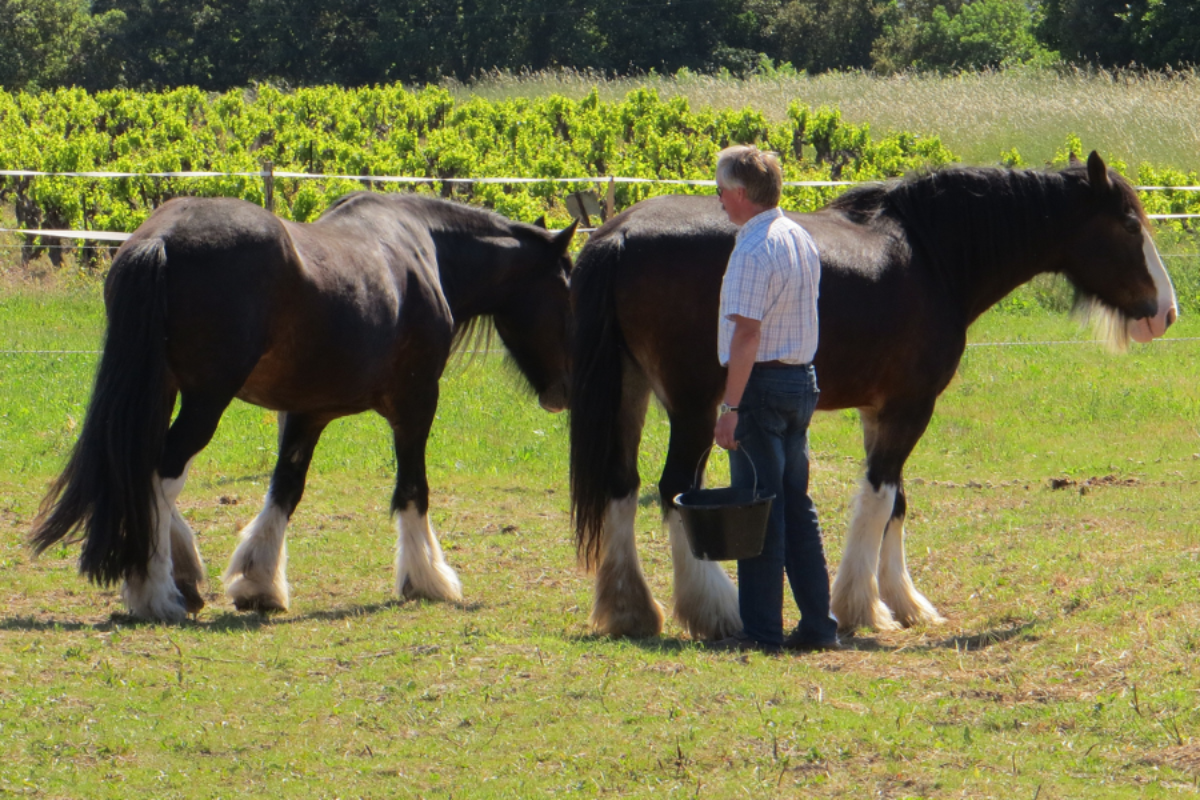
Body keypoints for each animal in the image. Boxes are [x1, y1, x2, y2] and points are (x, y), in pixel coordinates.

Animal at [31, 191, 576, 622]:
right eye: (569, 287)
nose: (565, 392)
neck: (424, 250)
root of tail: (160, 239)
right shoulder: (416, 401)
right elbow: (413, 488)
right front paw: (428, 578)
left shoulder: (306, 411)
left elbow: (286, 487)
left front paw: (259, 582)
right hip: (206, 399)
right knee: (161, 472)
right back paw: (157, 591)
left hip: (161, 390)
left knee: (138, 469)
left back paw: (181, 572)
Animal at [568, 152, 1177, 640]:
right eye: (1129, 225)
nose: (1166, 313)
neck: (931, 256)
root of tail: (619, 234)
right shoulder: (911, 407)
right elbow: (879, 497)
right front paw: (865, 607)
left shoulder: (879, 411)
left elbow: (897, 504)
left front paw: (906, 602)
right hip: (694, 410)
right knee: (674, 491)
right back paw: (716, 611)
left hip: (629, 395)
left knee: (622, 488)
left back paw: (630, 611)